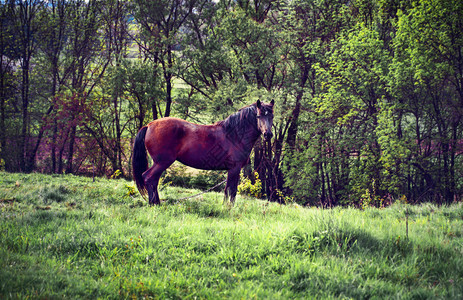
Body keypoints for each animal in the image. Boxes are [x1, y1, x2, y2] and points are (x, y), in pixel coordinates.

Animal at [132, 99, 274, 205]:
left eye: (272, 116)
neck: (234, 135)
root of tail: (149, 125)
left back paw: (156, 203)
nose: (268, 134)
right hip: (162, 162)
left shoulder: (231, 170)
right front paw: (229, 208)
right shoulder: (235, 169)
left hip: (160, 163)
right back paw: (154, 204)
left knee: (153, 180)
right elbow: (231, 190)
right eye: (259, 116)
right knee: (149, 178)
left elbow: (227, 190)